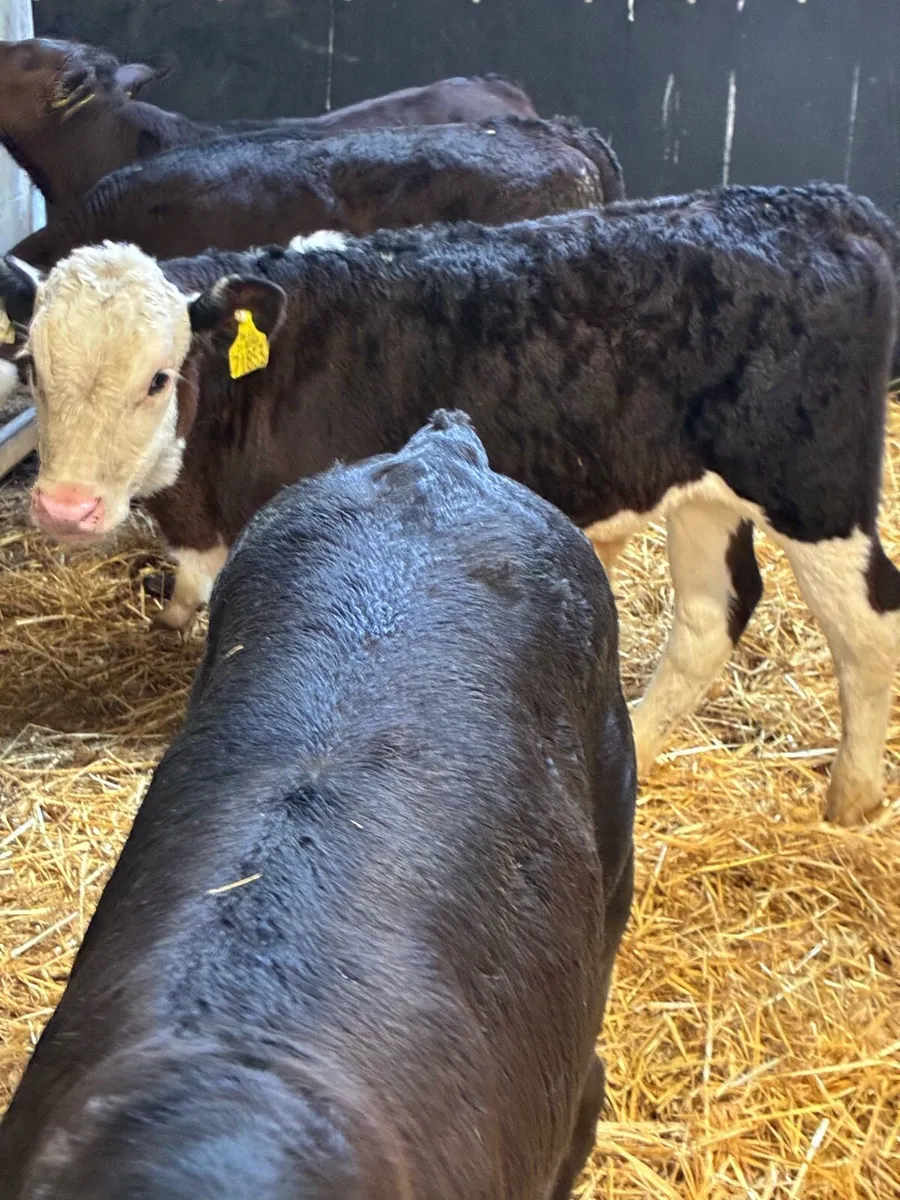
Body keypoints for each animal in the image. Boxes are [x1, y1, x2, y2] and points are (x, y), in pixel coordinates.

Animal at [2, 182, 900, 826]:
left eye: (158, 378)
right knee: (713, 616)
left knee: (867, 629)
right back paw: (642, 745)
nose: (66, 507)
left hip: (814, 489)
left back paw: (851, 799)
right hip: (701, 495)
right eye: (32, 368)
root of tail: (826, 204)